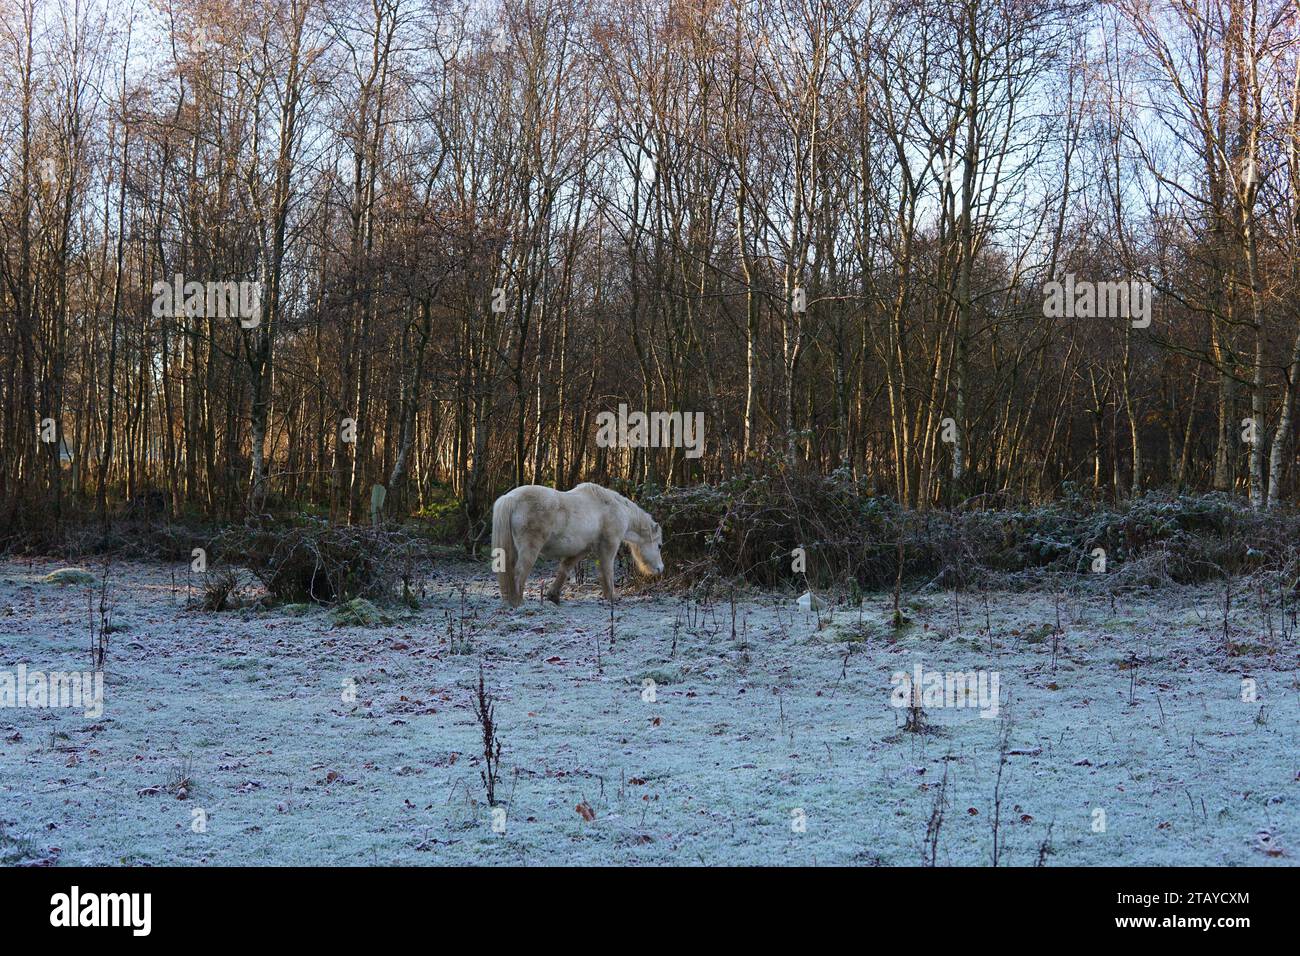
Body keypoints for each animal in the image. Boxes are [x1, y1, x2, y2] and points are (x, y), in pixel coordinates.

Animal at [491, 481, 665, 608]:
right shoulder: (609, 546)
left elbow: (565, 569)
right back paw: (518, 602)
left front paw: (553, 596)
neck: (615, 508)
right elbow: (607, 571)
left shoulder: (582, 550)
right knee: (520, 572)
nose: (660, 569)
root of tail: (511, 498)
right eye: (659, 546)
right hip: (530, 548)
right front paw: (612, 597)